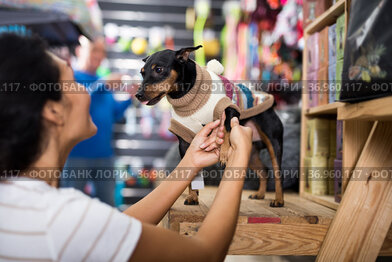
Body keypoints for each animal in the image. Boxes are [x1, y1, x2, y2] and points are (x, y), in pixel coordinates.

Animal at [136, 46, 284, 207]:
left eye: (159, 69)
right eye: (142, 72)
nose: (138, 95)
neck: (186, 95)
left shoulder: (230, 109)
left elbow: (226, 128)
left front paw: (224, 153)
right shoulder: (184, 141)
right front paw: (193, 196)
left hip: (273, 143)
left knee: (277, 172)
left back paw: (279, 200)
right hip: (250, 153)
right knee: (265, 170)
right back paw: (260, 194)